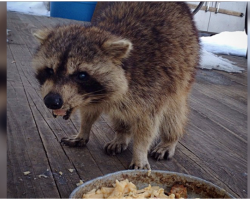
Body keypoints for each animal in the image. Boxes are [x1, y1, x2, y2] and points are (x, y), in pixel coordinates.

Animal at [32, 2, 199, 170]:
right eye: (49, 70)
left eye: (82, 75)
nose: (52, 101)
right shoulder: (91, 96)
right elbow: (89, 112)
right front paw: (84, 130)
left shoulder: (152, 87)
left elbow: (147, 125)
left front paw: (140, 152)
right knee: (121, 116)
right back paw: (122, 134)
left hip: (184, 72)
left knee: (173, 113)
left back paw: (169, 139)